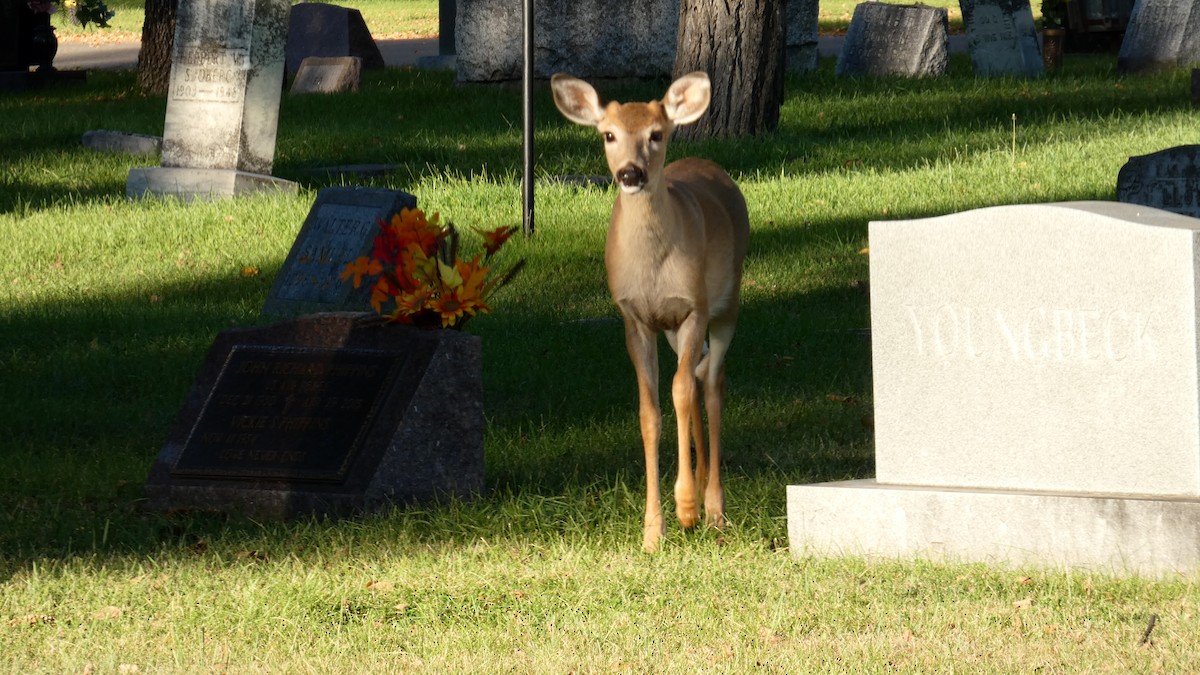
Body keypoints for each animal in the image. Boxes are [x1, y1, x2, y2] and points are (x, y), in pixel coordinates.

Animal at [551, 72, 750, 552]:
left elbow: (678, 392)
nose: (630, 173)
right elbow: (649, 411)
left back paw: (713, 509)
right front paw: (652, 531)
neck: (654, 270)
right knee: (698, 376)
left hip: (726, 303)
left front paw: (686, 509)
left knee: (711, 384)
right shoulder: (635, 318)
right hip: (675, 329)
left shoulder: (693, 308)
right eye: (608, 134)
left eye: (656, 134)